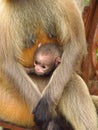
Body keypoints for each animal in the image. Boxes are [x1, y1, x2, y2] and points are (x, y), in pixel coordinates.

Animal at [0, 0, 97, 130]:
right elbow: (7, 63)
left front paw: (46, 104)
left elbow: (75, 44)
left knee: (71, 82)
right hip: (11, 103)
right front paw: (50, 118)